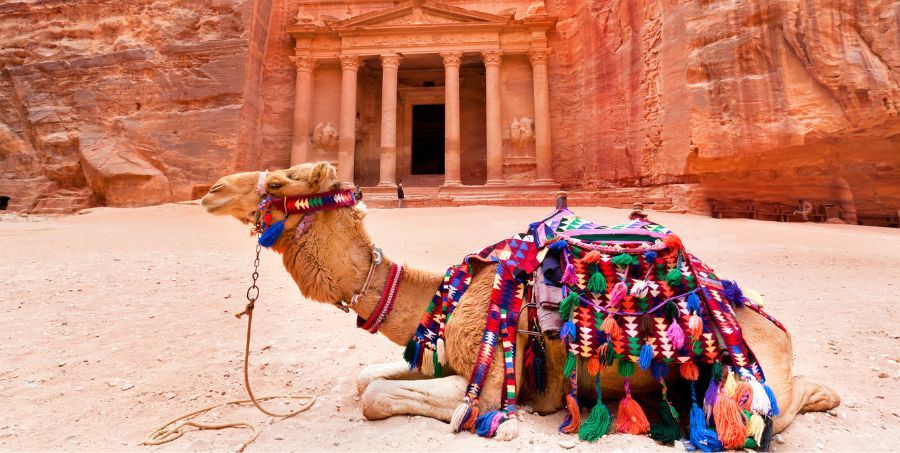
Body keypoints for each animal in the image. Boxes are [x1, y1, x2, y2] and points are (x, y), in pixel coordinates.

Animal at [201, 162, 840, 443]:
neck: (447, 296)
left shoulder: (485, 380)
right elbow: (363, 379)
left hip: (747, 378)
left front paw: (502, 425)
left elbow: (380, 397)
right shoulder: (435, 352)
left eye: (279, 181)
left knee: (776, 404)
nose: (210, 190)